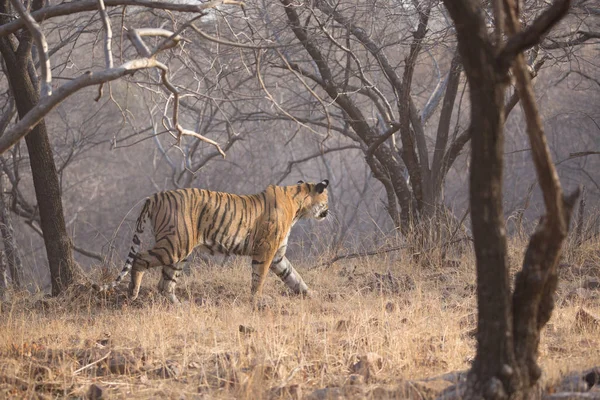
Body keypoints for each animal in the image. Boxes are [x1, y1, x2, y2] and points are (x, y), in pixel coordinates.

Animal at [92, 180, 328, 304]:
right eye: (326, 201)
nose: (328, 211)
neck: (298, 207)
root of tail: (155, 196)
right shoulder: (266, 250)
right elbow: (259, 277)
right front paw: (257, 300)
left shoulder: (278, 255)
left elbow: (294, 276)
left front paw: (310, 294)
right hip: (174, 246)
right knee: (140, 259)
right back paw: (133, 292)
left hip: (180, 250)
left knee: (165, 283)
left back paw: (179, 306)